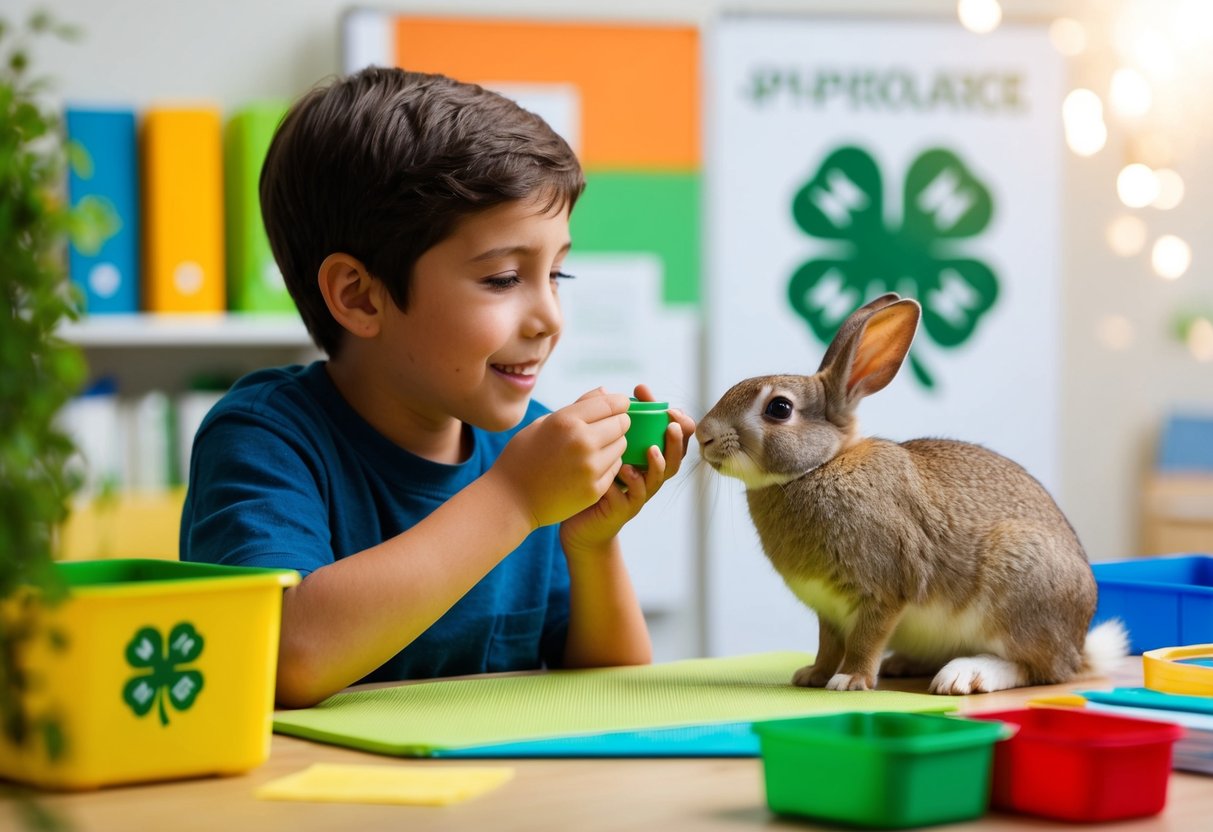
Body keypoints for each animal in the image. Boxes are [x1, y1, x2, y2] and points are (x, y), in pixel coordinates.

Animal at [698, 294, 1130, 698]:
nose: (703, 435)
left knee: (1035, 669)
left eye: (779, 408)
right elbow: (827, 645)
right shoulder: (828, 610)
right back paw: (903, 664)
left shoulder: (884, 590)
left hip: (1019, 588)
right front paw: (813, 675)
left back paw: (964, 676)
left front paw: (850, 681)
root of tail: (1077, 648)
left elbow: (865, 640)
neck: (820, 467)